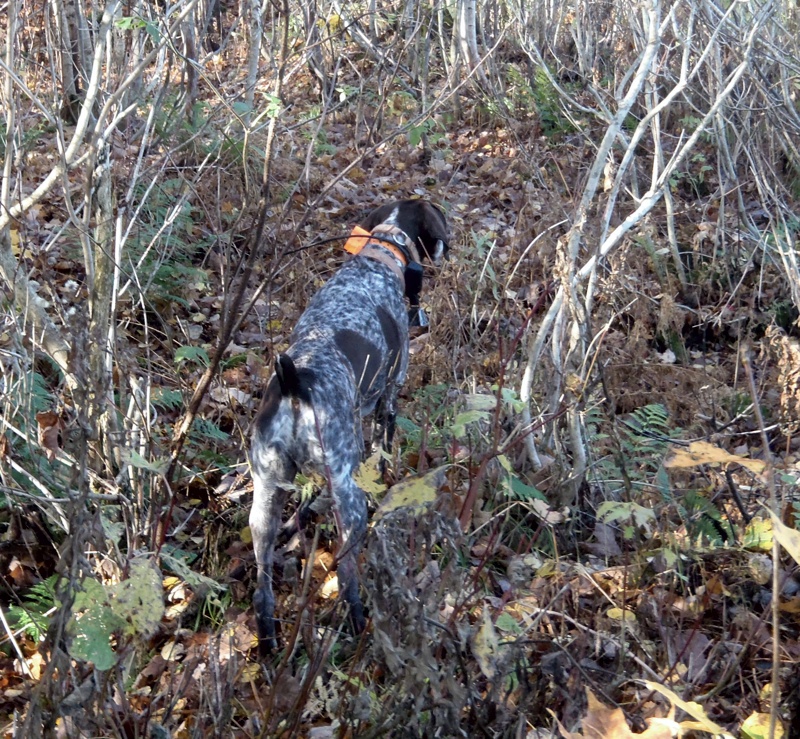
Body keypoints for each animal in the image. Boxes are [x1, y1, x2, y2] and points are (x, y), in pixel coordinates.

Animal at [250, 201, 450, 652]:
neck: (378, 258)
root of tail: (294, 382)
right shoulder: (388, 398)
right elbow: (384, 453)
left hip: (265, 495)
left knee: (262, 586)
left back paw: (269, 639)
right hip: (348, 493)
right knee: (345, 574)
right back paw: (359, 622)